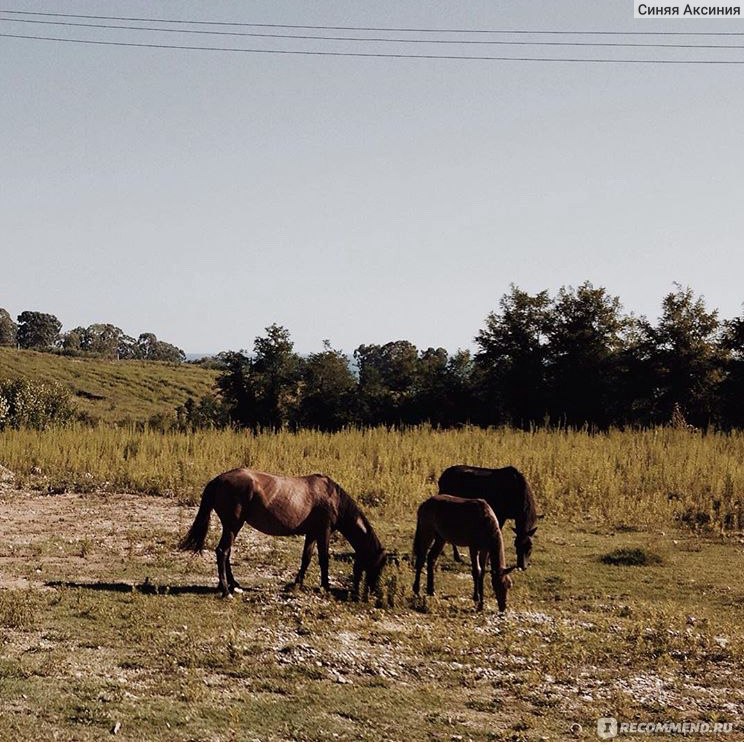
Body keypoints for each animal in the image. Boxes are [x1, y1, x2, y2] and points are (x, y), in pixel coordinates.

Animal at [180, 470, 386, 600]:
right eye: (378, 564)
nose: (372, 592)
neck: (333, 497)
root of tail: (218, 479)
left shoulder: (312, 533)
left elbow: (306, 558)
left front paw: (296, 584)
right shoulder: (323, 532)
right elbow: (324, 560)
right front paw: (325, 587)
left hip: (231, 527)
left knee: (226, 552)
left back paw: (234, 585)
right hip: (232, 526)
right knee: (222, 552)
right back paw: (225, 590)